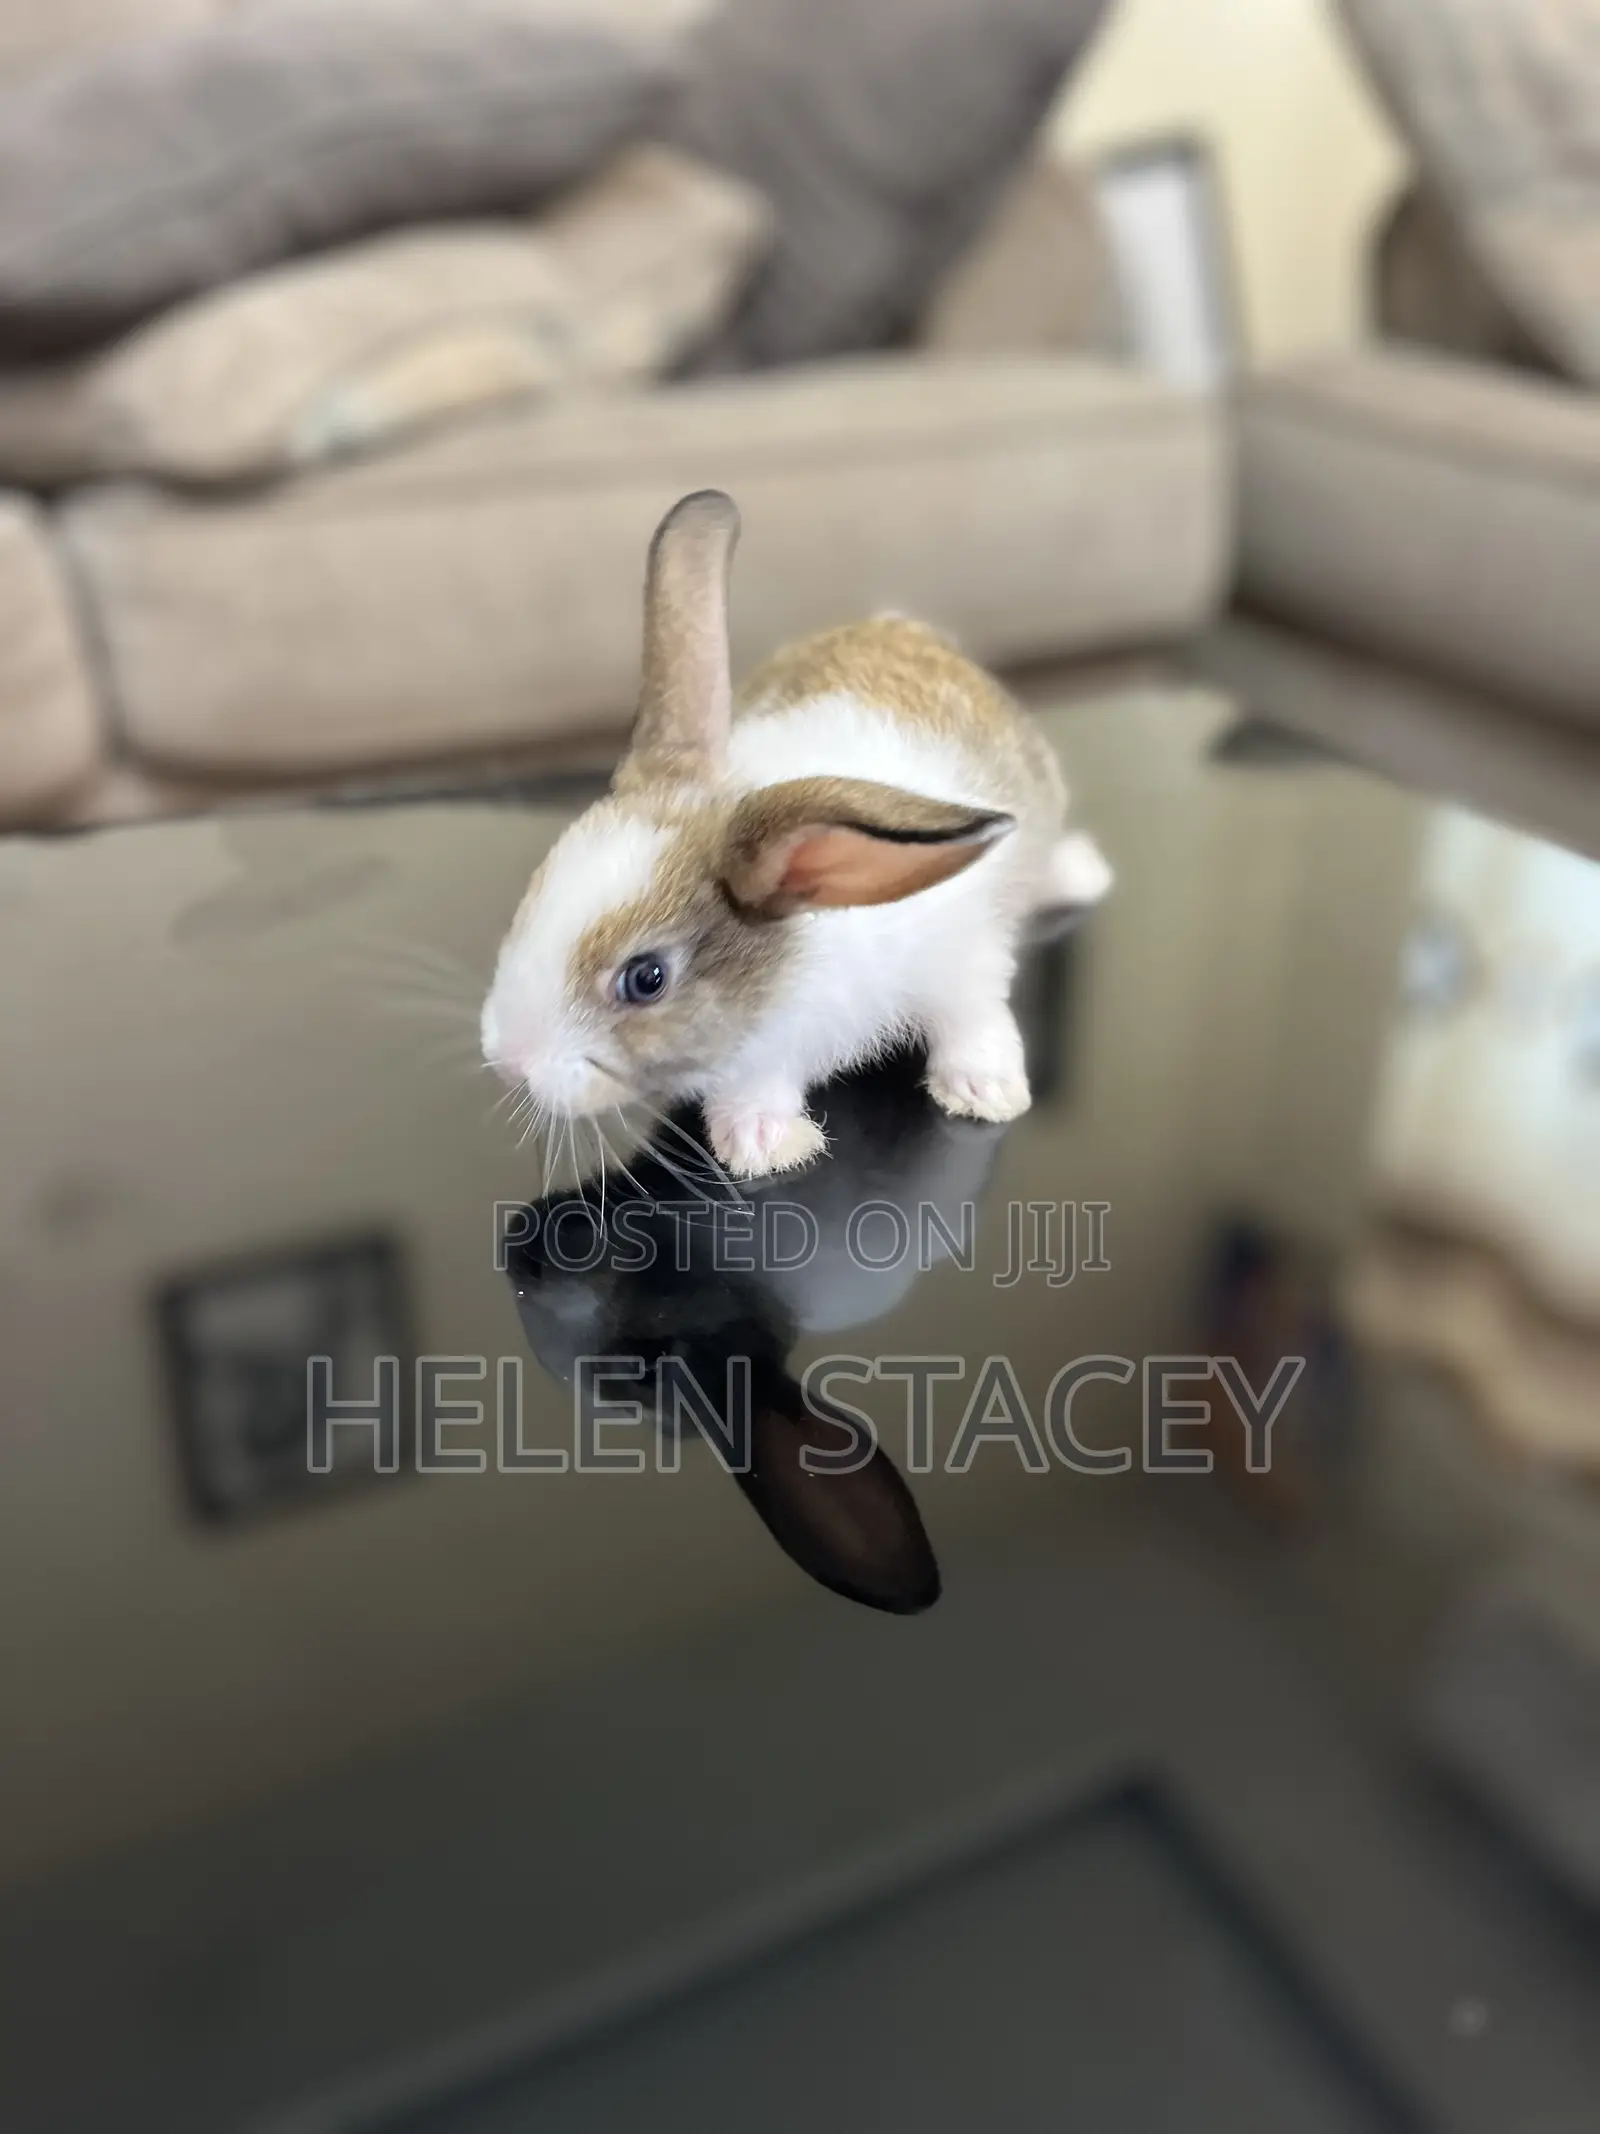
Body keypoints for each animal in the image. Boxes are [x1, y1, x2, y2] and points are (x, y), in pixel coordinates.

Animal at [481, 489, 1112, 1180]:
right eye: (536, 888)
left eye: (646, 979)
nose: (506, 1060)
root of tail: (900, 625)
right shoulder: (758, 1060)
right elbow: (756, 1095)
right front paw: (765, 1147)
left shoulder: (963, 961)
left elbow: (973, 1020)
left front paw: (987, 1093)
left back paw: (1084, 872)